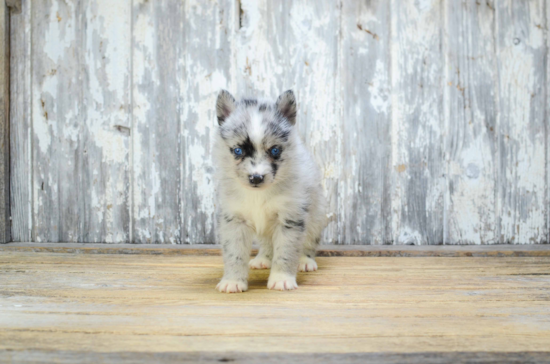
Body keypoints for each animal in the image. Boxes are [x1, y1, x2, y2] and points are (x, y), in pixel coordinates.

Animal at [215, 89, 328, 292]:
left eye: (275, 150)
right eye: (237, 151)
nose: (256, 178)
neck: (258, 195)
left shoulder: (290, 218)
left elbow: (285, 252)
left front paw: (282, 278)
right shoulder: (234, 220)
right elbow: (234, 253)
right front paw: (233, 281)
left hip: (316, 217)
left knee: (308, 243)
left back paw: (305, 261)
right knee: (267, 244)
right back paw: (263, 259)